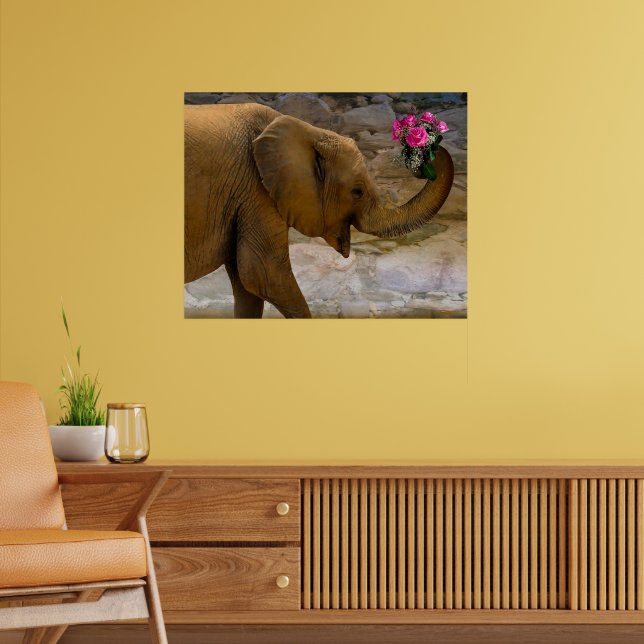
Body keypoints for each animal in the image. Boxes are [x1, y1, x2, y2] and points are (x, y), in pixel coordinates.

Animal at [184, 103, 454, 318]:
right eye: (357, 192)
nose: (423, 141)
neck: (309, 131)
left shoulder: (244, 194)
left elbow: (247, 285)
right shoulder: (256, 190)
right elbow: (262, 272)